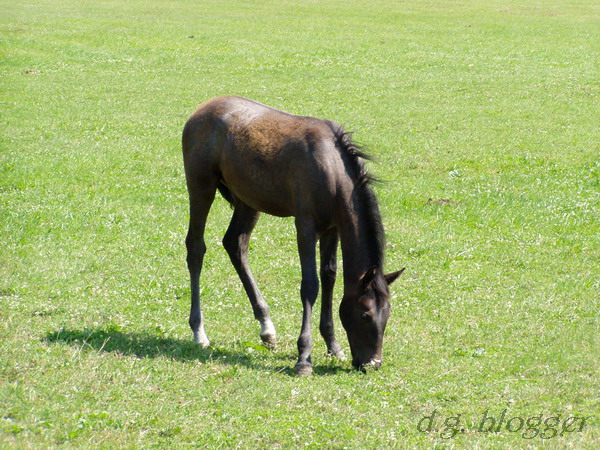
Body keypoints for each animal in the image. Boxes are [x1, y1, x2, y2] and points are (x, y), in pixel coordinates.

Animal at [180, 96, 400, 374]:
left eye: (388, 313)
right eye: (365, 314)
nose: (373, 363)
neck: (330, 168)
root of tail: (201, 110)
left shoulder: (332, 228)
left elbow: (329, 276)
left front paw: (333, 345)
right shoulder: (305, 225)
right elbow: (310, 285)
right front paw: (304, 357)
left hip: (248, 200)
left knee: (235, 244)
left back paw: (266, 327)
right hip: (201, 185)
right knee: (196, 248)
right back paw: (199, 332)